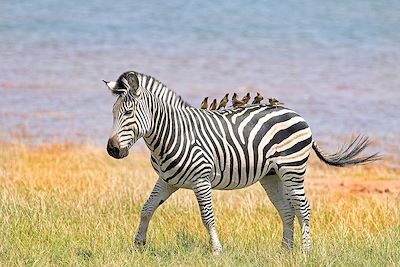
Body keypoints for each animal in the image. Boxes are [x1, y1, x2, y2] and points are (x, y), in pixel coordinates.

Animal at [102, 71, 378, 255]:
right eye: (113, 113)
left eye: (128, 113)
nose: (112, 149)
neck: (173, 133)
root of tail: (296, 113)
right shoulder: (167, 180)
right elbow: (147, 208)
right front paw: (138, 245)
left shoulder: (201, 180)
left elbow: (207, 217)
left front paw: (216, 251)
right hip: (272, 176)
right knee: (287, 210)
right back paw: (285, 251)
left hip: (293, 169)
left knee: (304, 208)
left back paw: (305, 252)